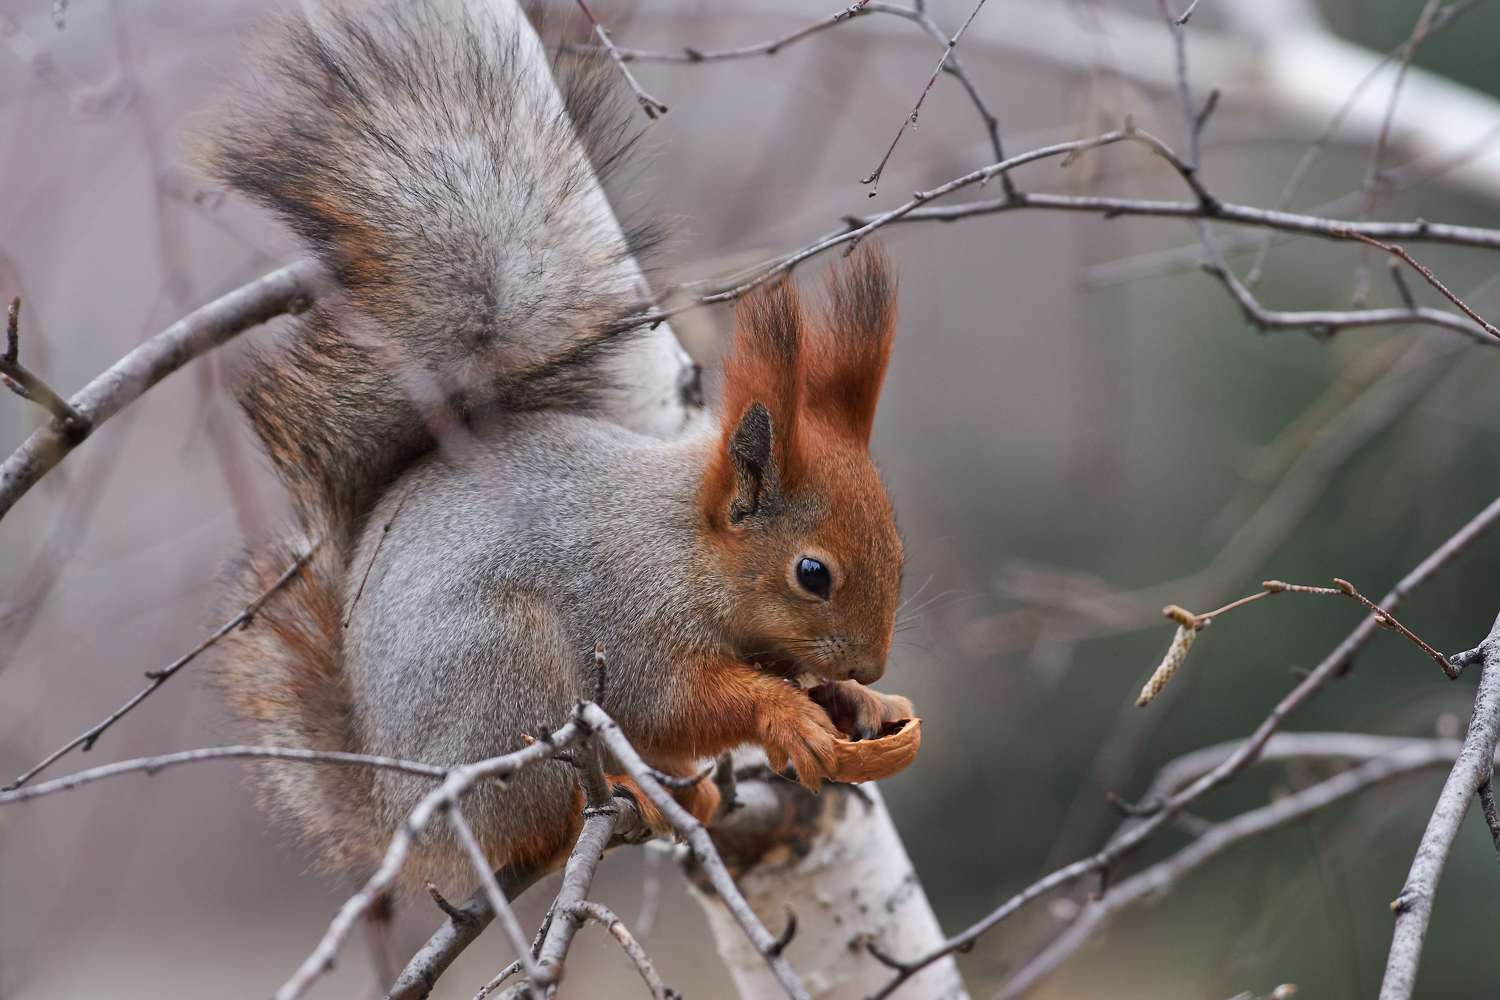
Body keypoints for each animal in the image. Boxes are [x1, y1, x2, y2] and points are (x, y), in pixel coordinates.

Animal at [205, 0, 915, 895]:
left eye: (900, 551)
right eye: (812, 574)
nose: (874, 666)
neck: (685, 549)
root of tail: (403, 810)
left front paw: (860, 707)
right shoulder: (634, 624)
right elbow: (683, 702)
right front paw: (786, 714)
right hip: (512, 681)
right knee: (540, 823)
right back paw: (616, 798)